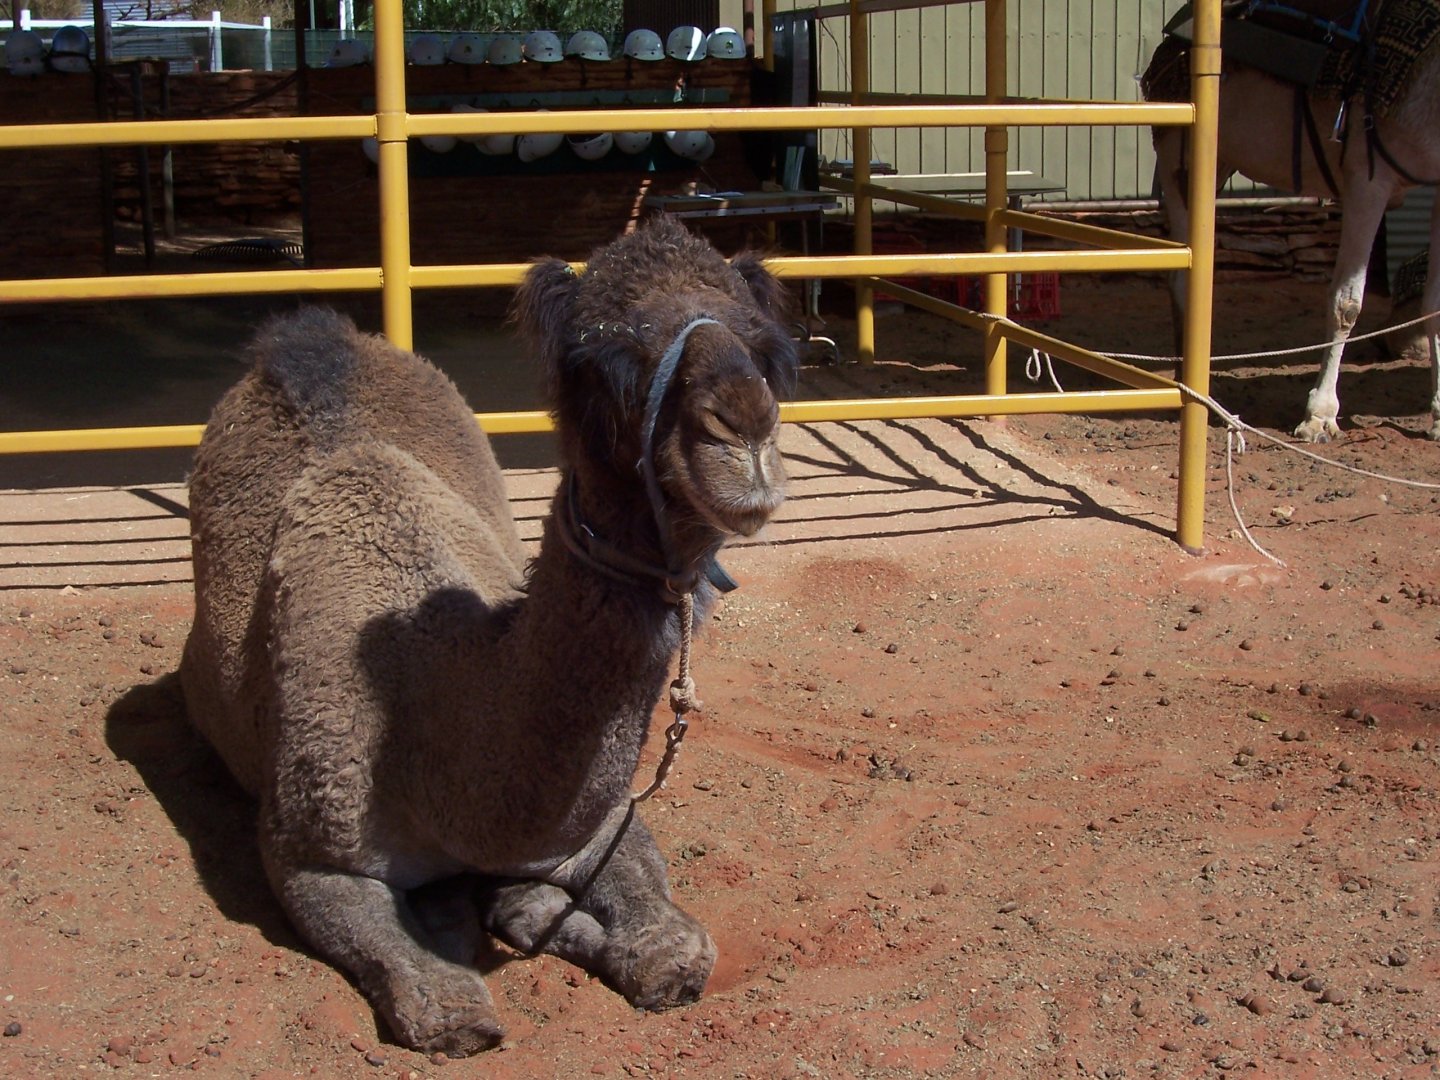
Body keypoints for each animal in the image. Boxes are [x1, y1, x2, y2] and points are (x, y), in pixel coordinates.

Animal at [178, 215, 799, 1055]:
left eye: (769, 348)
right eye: (598, 360)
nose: (743, 426)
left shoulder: (596, 821)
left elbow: (671, 941)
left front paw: (565, 921)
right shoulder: (309, 853)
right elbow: (438, 1003)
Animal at [1144, 0, 1440, 441]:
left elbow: (1434, 303)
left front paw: (1438, 414)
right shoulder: (1367, 179)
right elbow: (1346, 304)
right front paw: (1319, 416)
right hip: (1179, 152)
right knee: (1185, 270)